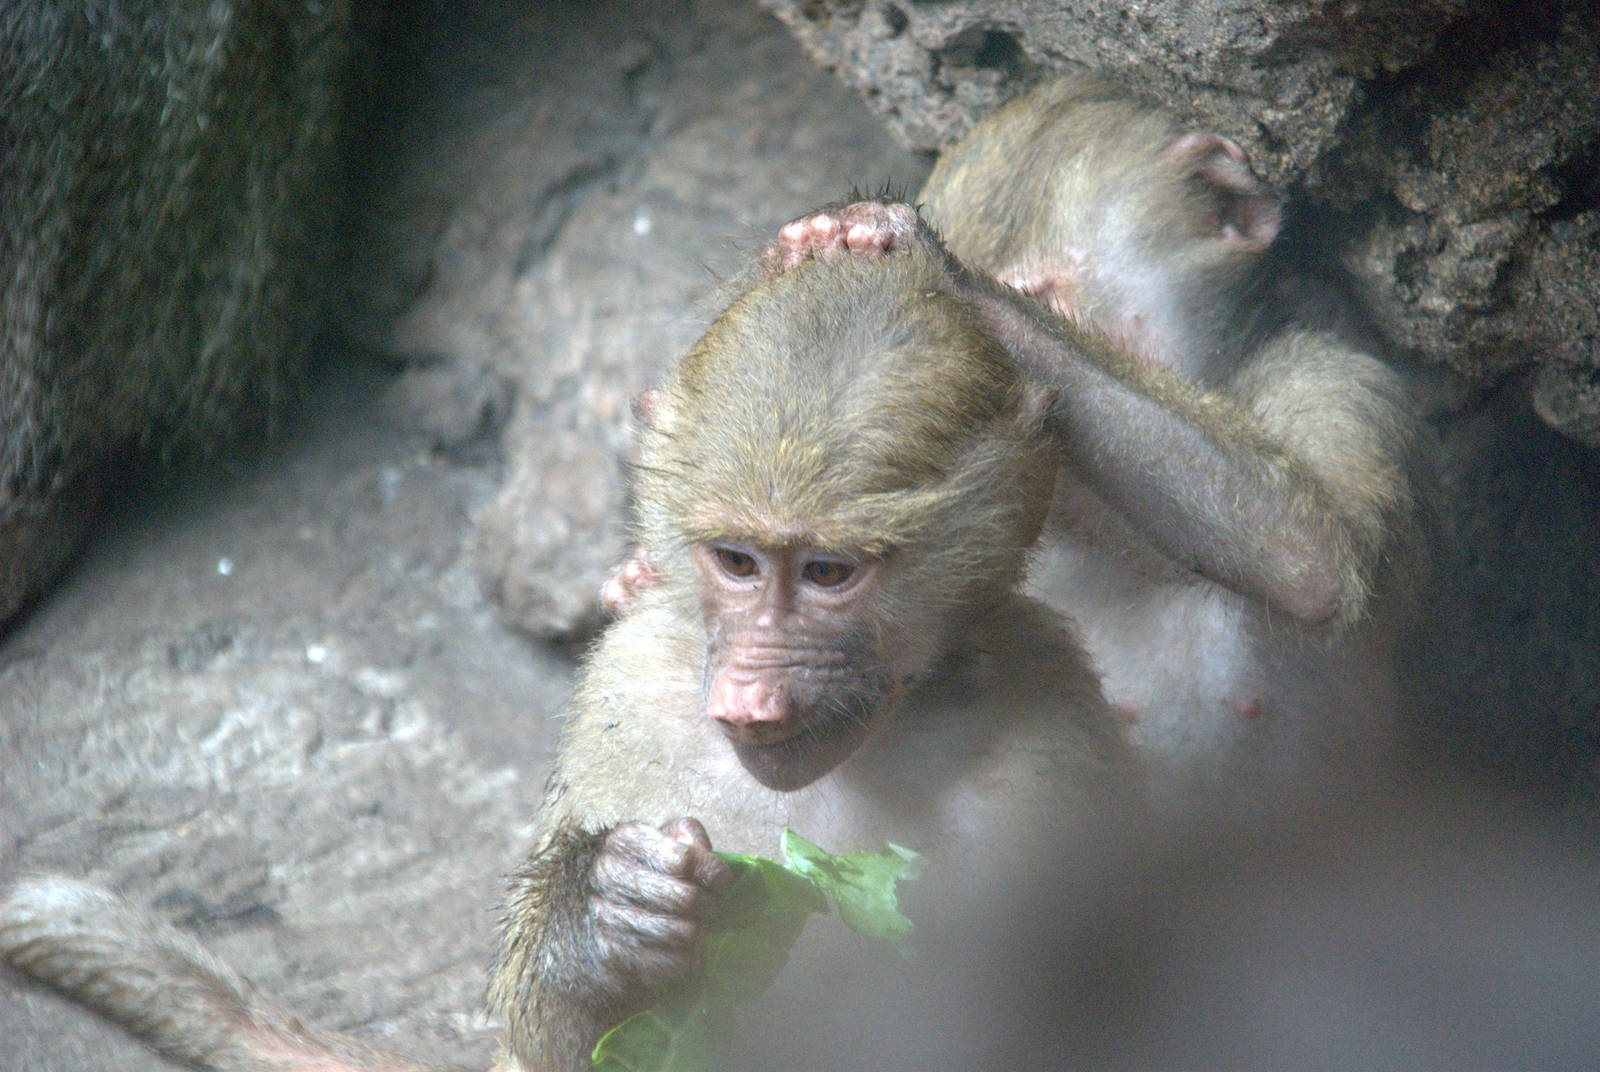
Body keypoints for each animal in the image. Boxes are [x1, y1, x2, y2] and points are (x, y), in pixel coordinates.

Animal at [3, 223, 1135, 1072]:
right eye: (736, 561)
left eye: (827, 573)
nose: (751, 700)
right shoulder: (629, 692)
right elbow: (552, 1043)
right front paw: (607, 917)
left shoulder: (1047, 719)